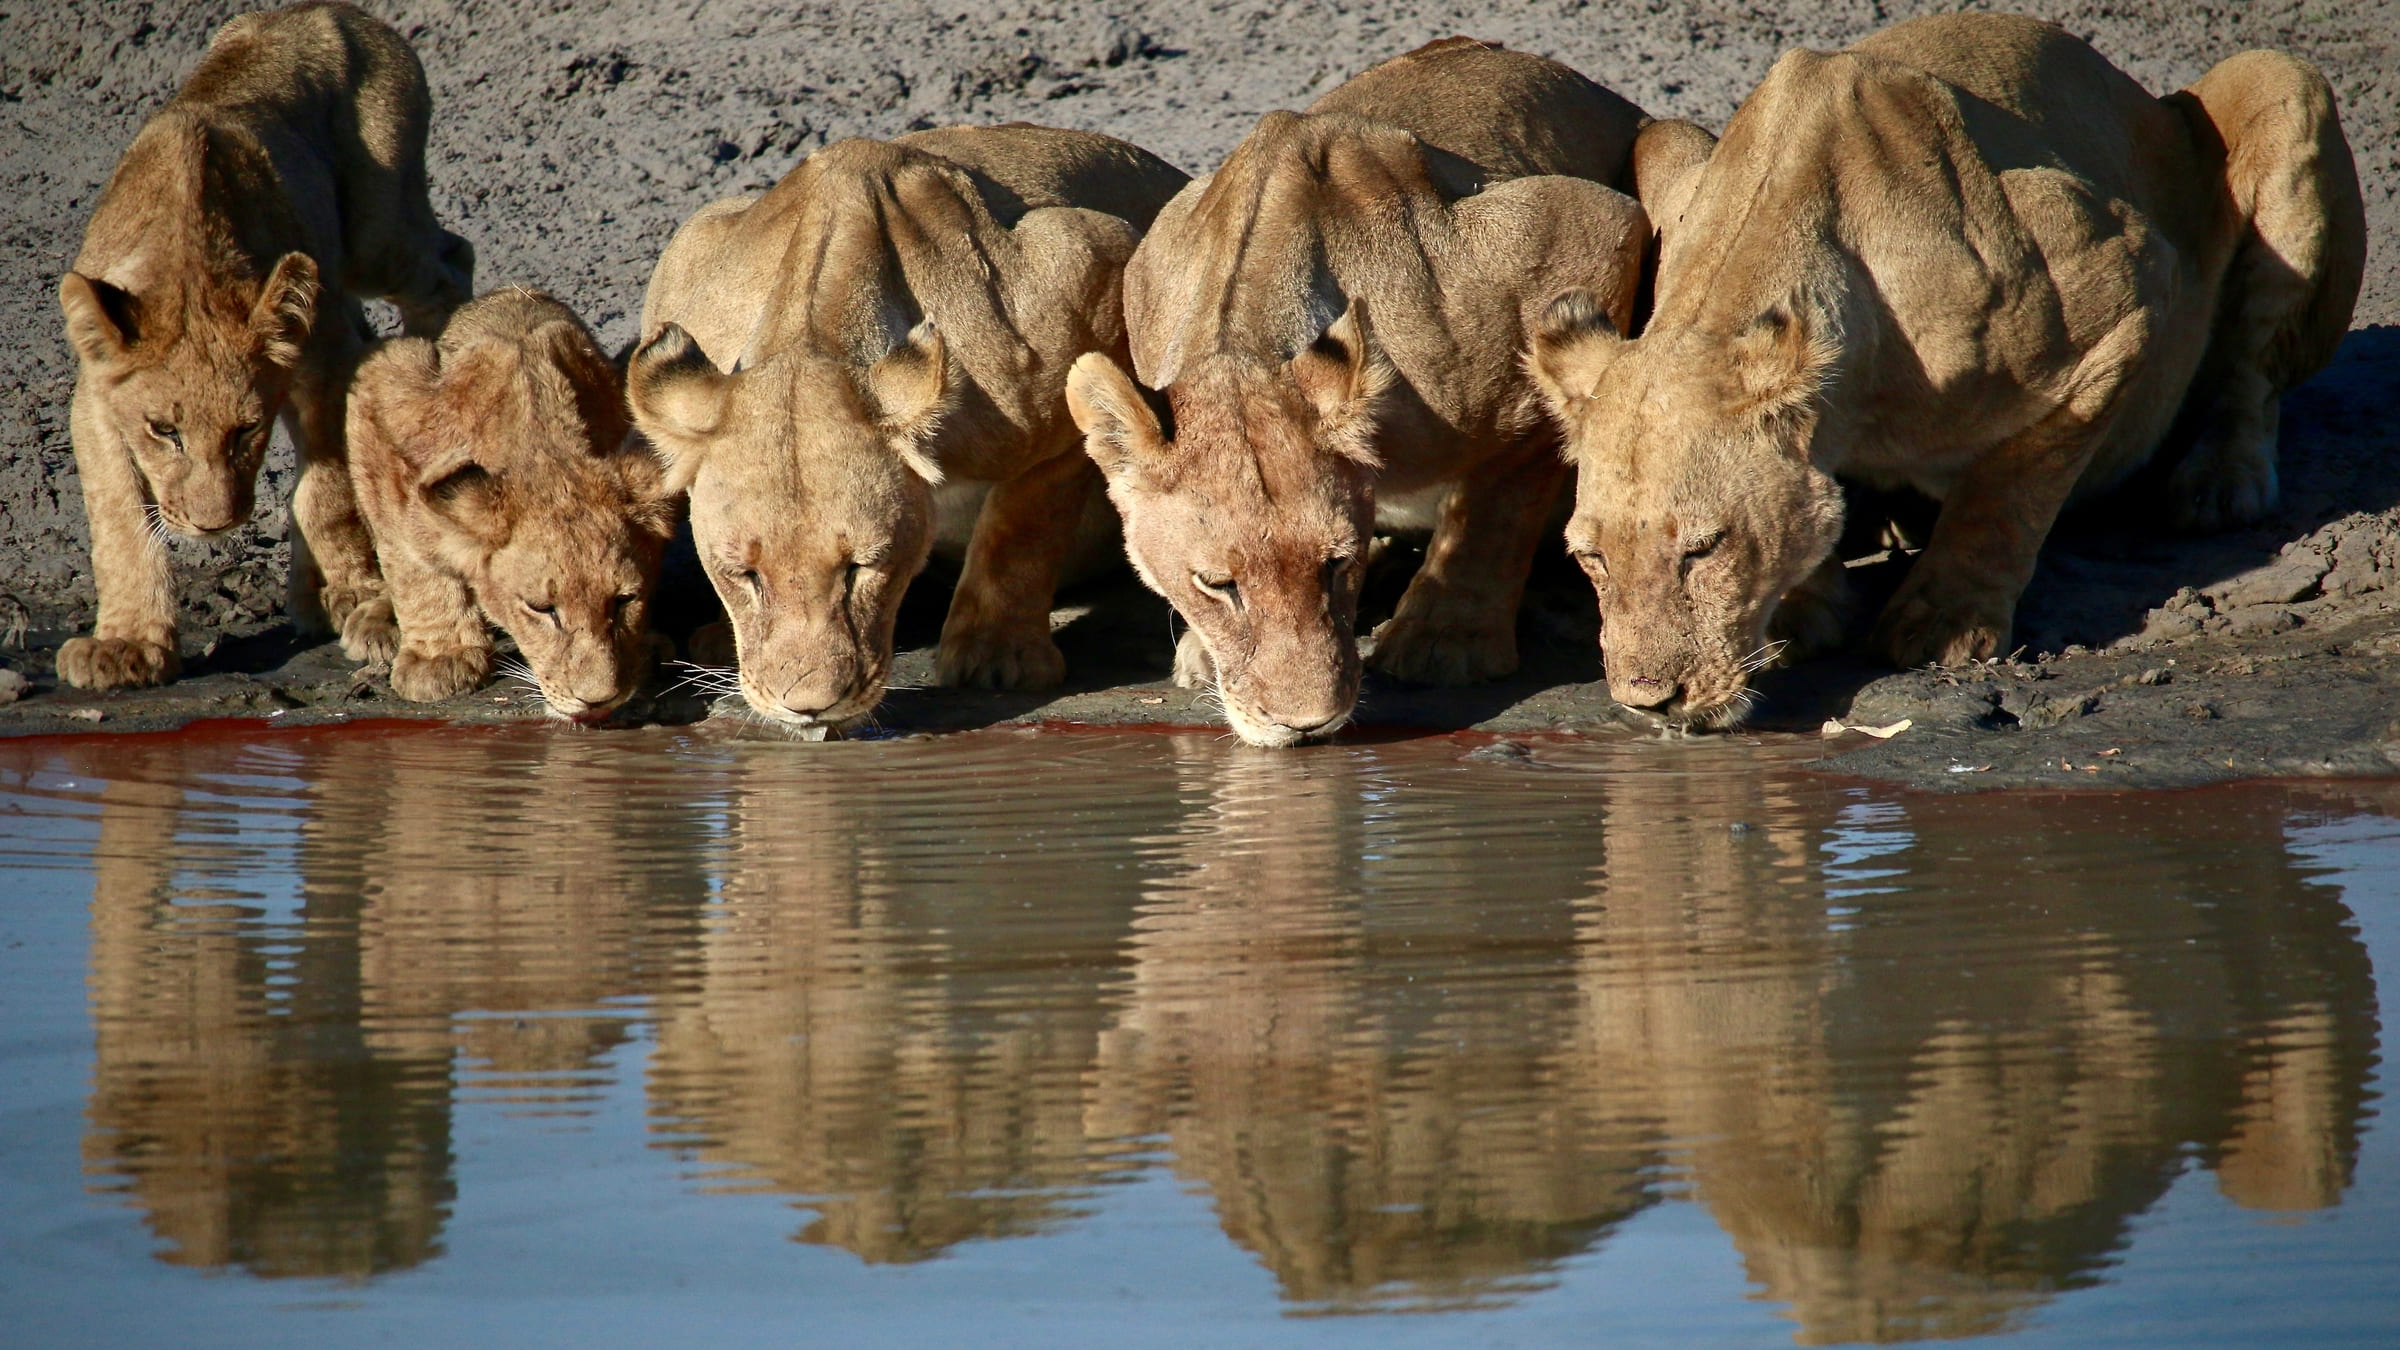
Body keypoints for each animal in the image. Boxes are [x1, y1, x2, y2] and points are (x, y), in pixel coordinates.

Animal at [54, 1, 474, 692]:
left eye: (247, 430)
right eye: (164, 431)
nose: (214, 525)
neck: (189, 263)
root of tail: (327, 9)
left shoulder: (325, 364)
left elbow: (327, 491)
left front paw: (357, 601)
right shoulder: (96, 397)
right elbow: (119, 518)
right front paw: (127, 643)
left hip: (377, 232)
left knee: (448, 261)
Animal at [344, 289, 677, 721]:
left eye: (624, 601)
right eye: (542, 608)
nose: (598, 700)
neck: (543, 444)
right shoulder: (383, 389)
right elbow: (414, 564)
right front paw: (440, 659)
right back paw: (373, 625)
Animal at [624, 123, 1186, 735]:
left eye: (860, 569)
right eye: (745, 575)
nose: (808, 706)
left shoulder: (1092, 259)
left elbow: (1025, 521)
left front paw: (997, 656)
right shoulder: (689, 251)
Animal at [1065, 37, 1709, 748]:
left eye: (1334, 564)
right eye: (1216, 584)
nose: (1308, 724)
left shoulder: (1583, 235)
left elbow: (1501, 495)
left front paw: (1445, 640)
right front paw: (1202, 653)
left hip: (1667, 140)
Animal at [1529, 13, 2365, 728]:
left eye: (1704, 548)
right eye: (1592, 558)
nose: (1649, 702)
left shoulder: (2123, 280)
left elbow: (2013, 483)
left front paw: (1943, 624)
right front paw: (1805, 607)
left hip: (2281, 79)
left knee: (2253, 365)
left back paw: (2219, 483)